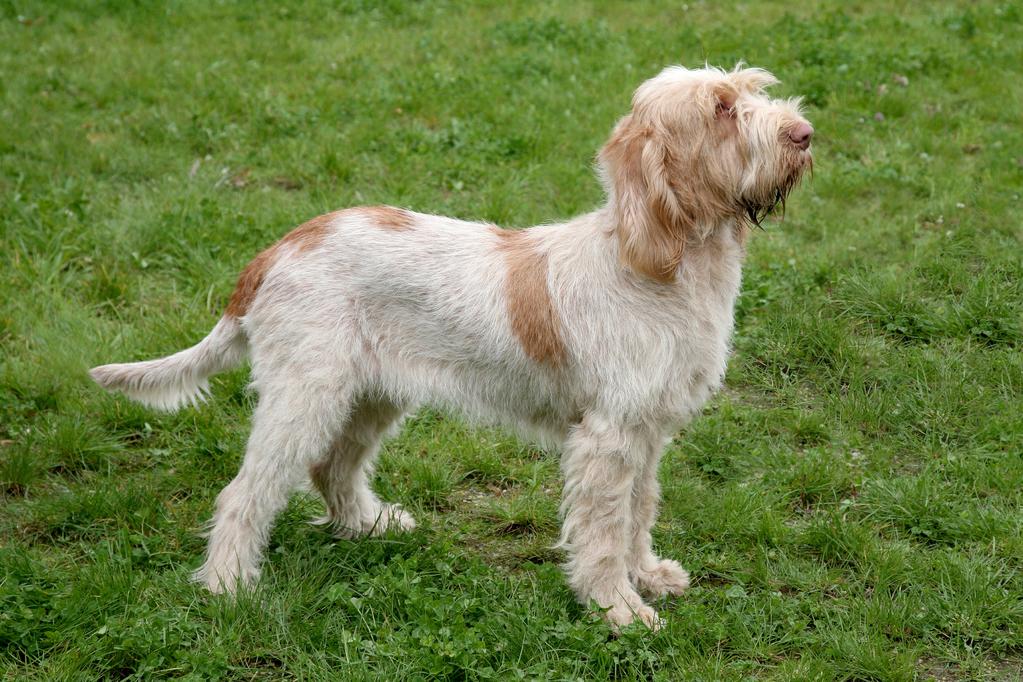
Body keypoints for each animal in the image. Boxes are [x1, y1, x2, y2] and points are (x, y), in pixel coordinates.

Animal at [87, 63, 810, 629]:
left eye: (752, 91)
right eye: (721, 109)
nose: (803, 135)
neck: (663, 266)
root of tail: (278, 248)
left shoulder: (647, 431)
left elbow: (638, 513)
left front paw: (648, 576)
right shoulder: (608, 438)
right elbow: (603, 532)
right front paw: (618, 610)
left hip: (371, 395)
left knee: (333, 468)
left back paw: (369, 525)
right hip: (304, 397)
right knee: (246, 493)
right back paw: (228, 585)